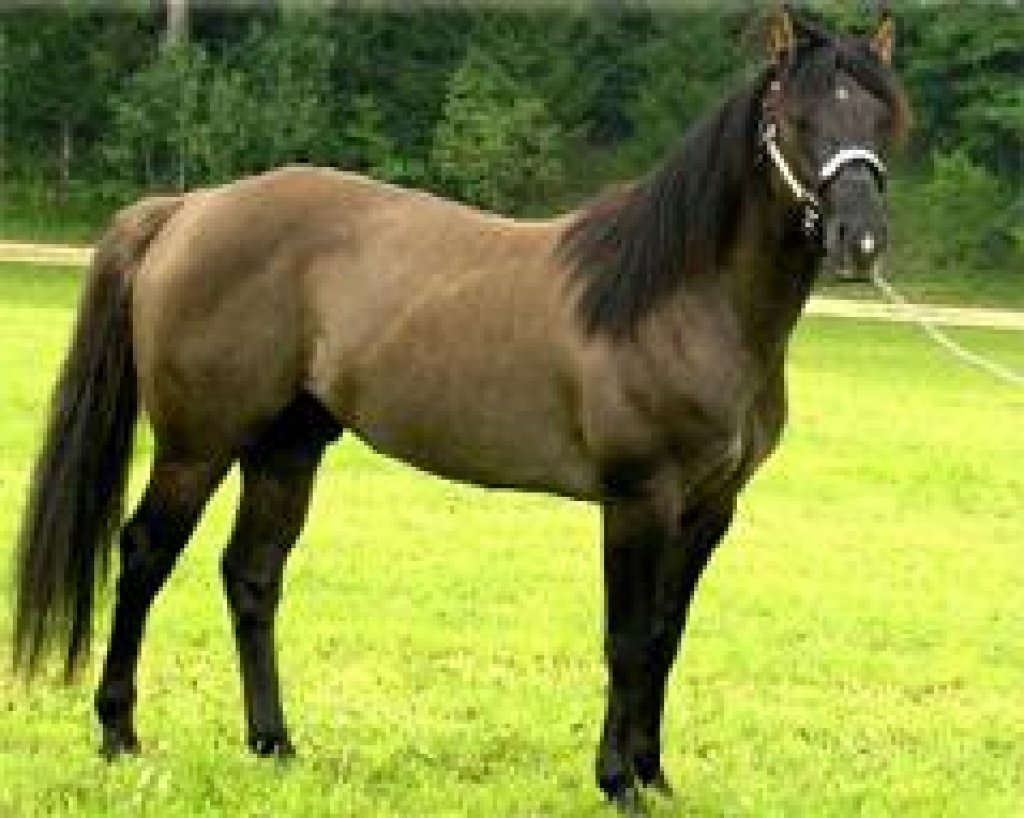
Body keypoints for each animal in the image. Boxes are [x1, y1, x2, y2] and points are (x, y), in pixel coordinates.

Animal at [13, 7, 909, 816]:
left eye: (879, 117)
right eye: (796, 120)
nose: (859, 242)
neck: (681, 302)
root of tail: (188, 209)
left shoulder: (710, 509)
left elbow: (664, 637)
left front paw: (655, 775)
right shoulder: (637, 500)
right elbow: (625, 639)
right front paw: (617, 783)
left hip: (287, 446)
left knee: (252, 576)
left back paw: (275, 744)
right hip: (197, 445)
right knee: (144, 556)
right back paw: (120, 734)